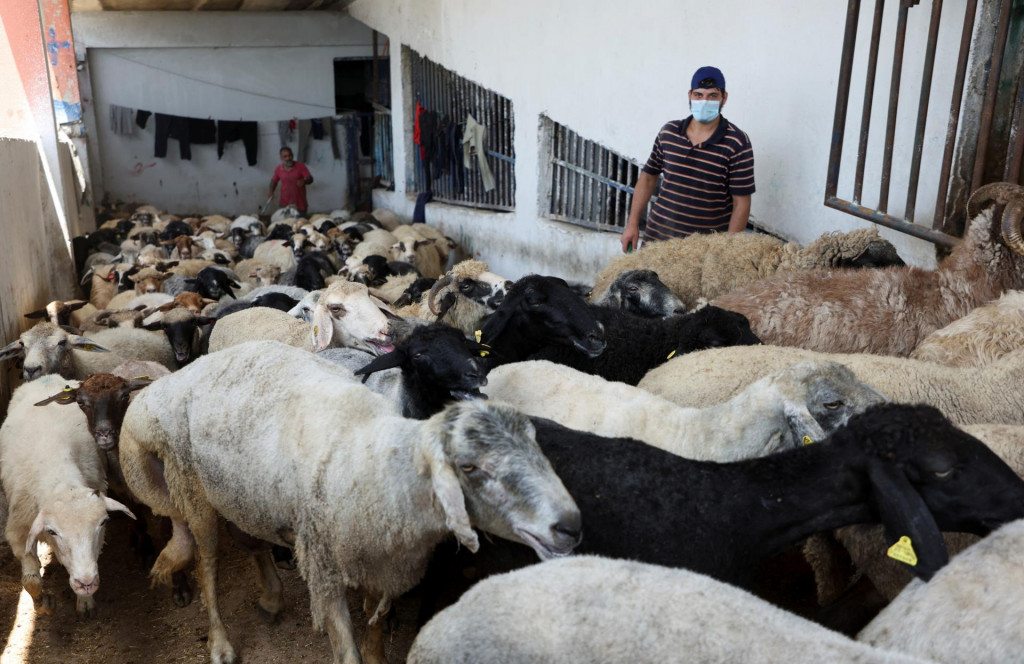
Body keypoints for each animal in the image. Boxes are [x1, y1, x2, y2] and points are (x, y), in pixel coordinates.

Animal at [0, 372, 136, 618]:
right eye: (52, 531)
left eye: (103, 523)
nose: (86, 583)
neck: (60, 479)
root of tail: (48, 376)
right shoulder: (19, 530)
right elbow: (30, 581)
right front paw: (43, 603)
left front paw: (85, 601)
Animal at [117, 342, 581, 664]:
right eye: (469, 466)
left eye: (538, 450)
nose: (571, 526)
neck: (378, 465)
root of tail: (167, 387)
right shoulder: (325, 569)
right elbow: (347, 648)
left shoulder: (381, 558)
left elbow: (375, 627)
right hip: (191, 488)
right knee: (207, 564)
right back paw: (220, 643)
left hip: (244, 491)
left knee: (253, 541)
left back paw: (271, 596)